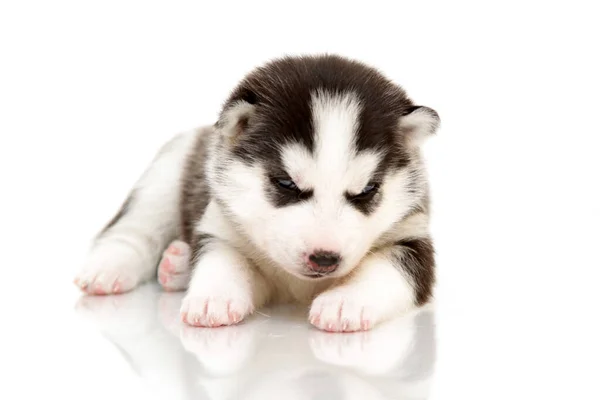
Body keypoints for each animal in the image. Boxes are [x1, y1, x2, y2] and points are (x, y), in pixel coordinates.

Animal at [75, 54, 440, 332]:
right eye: (286, 183)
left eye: (366, 190)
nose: (324, 259)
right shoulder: (220, 225)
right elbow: (224, 259)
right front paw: (214, 296)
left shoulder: (411, 237)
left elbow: (388, 269)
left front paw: (346, 301)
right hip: (167, 169)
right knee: (134, 230)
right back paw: (110, 267)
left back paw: (176, 265)